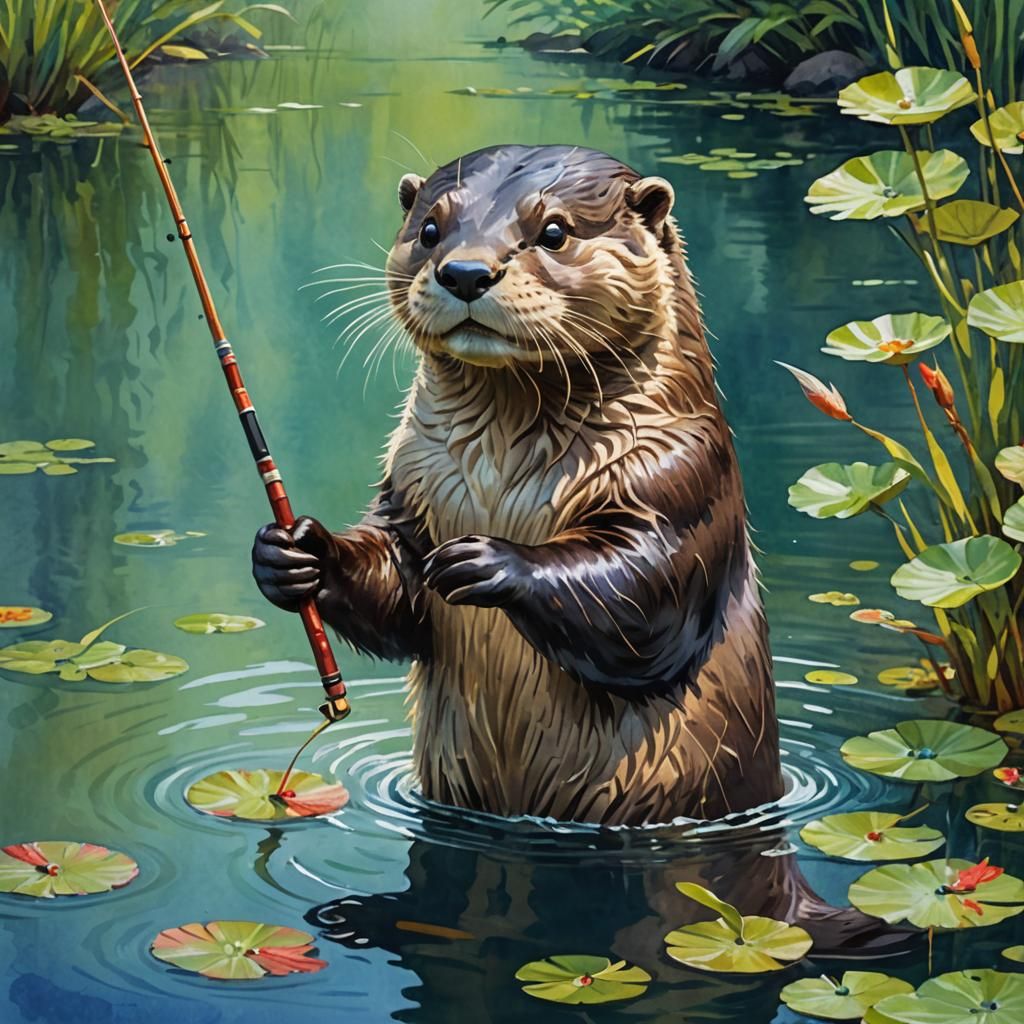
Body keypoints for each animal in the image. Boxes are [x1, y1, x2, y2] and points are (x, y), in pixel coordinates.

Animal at [252, 144, 783, 825]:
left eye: (554, 231)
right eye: (430, 230)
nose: (466, 272)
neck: (498, 478)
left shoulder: (684, 475)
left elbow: (645, 595)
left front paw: (486, 562)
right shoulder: (409, 485)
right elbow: (395, 590)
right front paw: (298, 553)